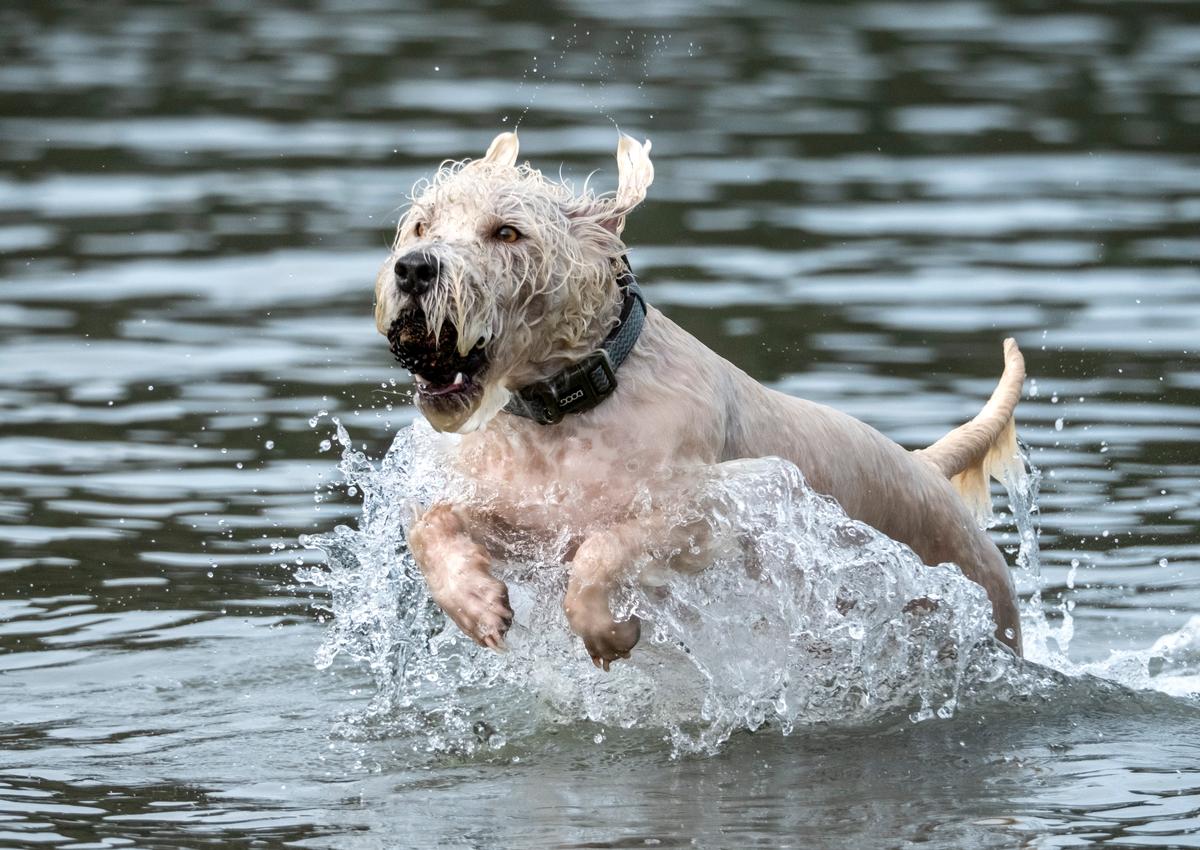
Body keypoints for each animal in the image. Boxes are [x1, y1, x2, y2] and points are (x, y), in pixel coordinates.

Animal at [372, 132, 1022, 667]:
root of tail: (926, 466)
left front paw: (610, 632)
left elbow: (607, 546)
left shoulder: (721, 506)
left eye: (507, 232)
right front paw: (475, 601)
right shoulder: (522, 517)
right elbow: (432, 520)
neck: (564, 410)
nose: (414, 270)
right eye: (422, 226)